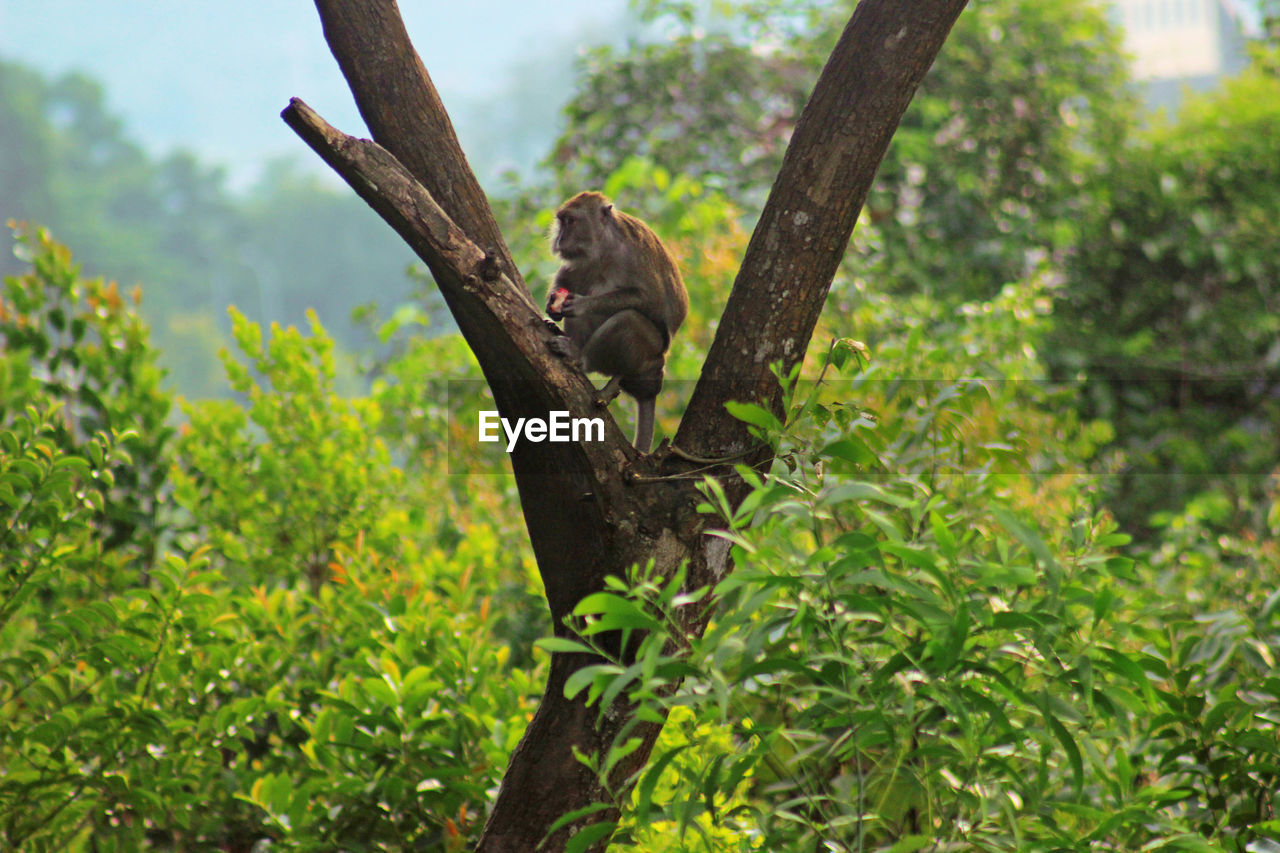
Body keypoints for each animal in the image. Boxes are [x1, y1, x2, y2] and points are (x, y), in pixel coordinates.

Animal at [550, 192, 691, 450]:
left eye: (571, 221)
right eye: (562, 221)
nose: (560, 238)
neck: (605, 247)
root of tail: (657, 365)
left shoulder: (635, 254)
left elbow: (649, 299)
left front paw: (583, 304)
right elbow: (569, 277)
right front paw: (552, 302)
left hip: (648, 350)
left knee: (628, 320)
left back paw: (579, 357)